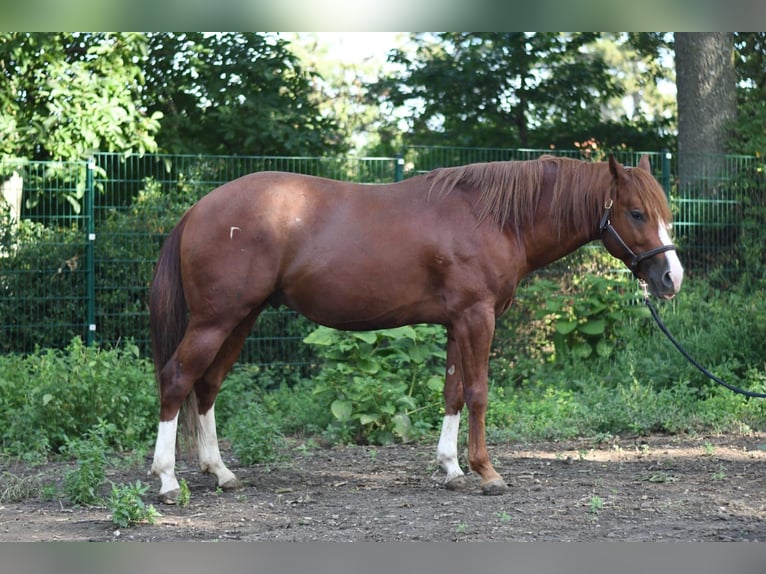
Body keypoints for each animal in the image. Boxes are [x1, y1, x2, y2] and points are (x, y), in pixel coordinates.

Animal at [148, 155, 684, 502]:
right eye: (636, 213)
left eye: (665, 213)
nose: (671, 279)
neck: (493, 217)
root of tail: (198, 209)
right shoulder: (477, 317)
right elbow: (478, 393)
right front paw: (487, 472)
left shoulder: (455, 323)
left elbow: (452, 393)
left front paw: (451, 469)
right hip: (216, 320)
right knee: (176, 380)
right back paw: (169, 480)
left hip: (240, 319)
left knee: (206, 387)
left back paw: (221, 472)